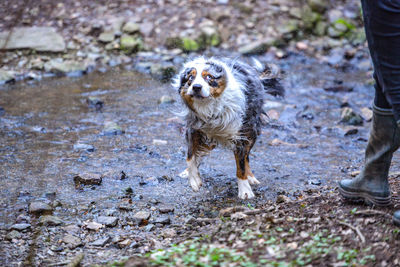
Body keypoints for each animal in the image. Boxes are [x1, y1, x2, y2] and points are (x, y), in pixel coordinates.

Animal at [173, 56, 284, 199]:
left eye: (209, 77)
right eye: (190, 78)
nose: (196, 87)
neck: (210, 109)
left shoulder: (240, 135)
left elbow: (241, 165)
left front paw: (245, 190)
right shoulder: (194, 129)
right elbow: (190, 156)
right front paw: (194, 180)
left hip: (251, 130)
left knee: (247, 157)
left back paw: (251, 177)